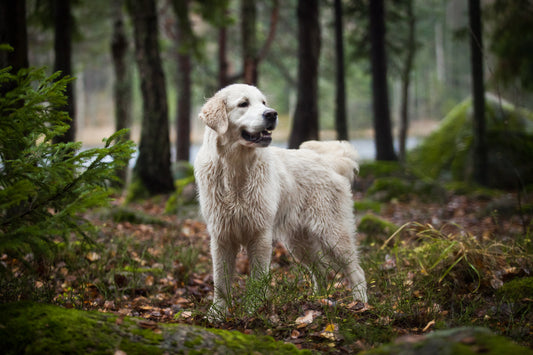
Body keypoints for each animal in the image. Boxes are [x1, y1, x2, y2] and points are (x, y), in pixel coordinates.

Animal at [194, 84, 366, 320]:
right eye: (243, 103)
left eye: (264, 102)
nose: (272, 114)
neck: (235, 170)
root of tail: (328, 161)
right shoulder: (221, 237)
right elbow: (220, 282)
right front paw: (217, 314)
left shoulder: (260, 235)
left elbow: (257, 278)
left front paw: (254, 309)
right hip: (298, 242)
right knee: (321, 269)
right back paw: (318, 301)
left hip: (332, 234)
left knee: (356, 271)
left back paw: (361, 304)